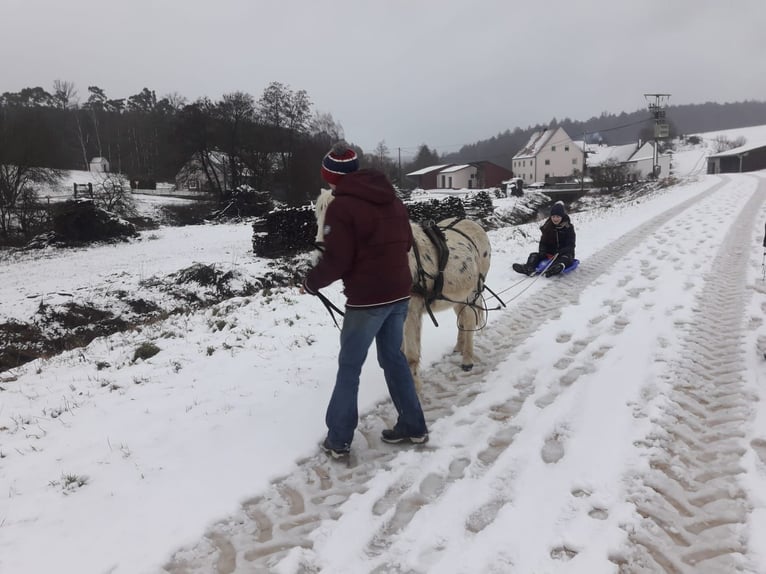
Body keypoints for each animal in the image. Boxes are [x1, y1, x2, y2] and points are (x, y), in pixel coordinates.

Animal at [312, 191, 492, 394]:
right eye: (318, 216)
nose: (320, 260)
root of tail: (472, 224)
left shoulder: (411, 312)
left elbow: (411, 354)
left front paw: (416, 390)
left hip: (471, 293)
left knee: (468, 320)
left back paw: (467, 359)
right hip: (456, 296)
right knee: (461, 318)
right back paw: (459, 348)